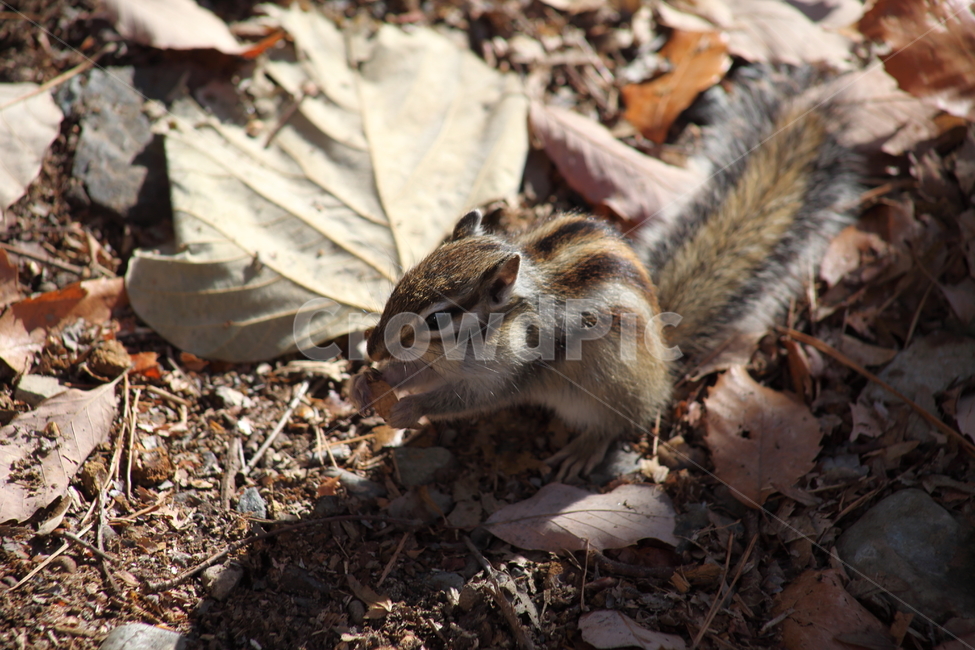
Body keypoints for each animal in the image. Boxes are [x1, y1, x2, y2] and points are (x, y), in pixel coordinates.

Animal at [351, 68, 861, 481]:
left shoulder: (507, 373)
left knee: (617, 423)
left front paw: (411, 407)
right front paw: (367, 384)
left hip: (608, 389)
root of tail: (664, 361)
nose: (372, 348)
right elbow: (415, 373)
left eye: (437, 319)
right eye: (400, 283)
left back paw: (585, 448)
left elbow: (464, 401)